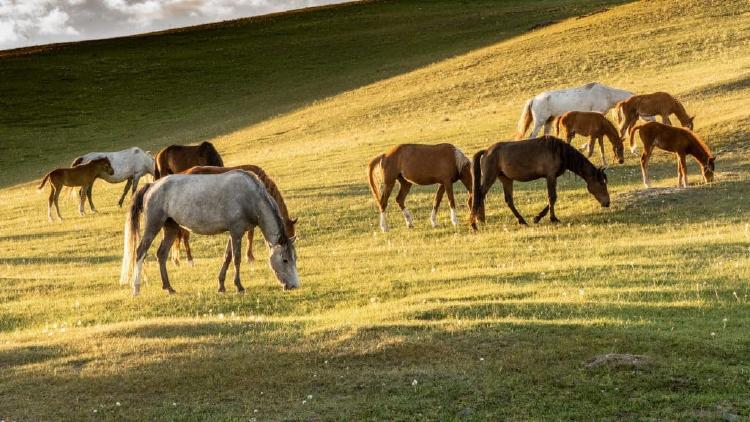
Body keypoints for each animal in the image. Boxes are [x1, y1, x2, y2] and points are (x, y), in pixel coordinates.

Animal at [120, 170, 300, 296]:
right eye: (284, 260)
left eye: (294, 258)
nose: (294, 285)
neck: (250, 197)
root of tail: (152, 186)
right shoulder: (236, 232)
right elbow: (236, 259)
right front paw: (239, 286)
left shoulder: (234, 233)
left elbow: (227, 257)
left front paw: (221, 285)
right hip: (153, 225)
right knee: (140, 252)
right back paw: (136, 288)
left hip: (171, 227)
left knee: (161, 254)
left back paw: (169, 288)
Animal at [472, 135, 612, 229]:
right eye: (602, 183)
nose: (607, 203)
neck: (559, 151)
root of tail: (486, 151)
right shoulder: (550, 176)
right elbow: (552, 197)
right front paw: (553, 218)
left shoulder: (551, 177)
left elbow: (552, 198)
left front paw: (537, 218)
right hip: (490, 177)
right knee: (478, 196)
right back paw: (473, 224)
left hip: (506, 179)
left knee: (508, 201)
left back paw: (522, 221)